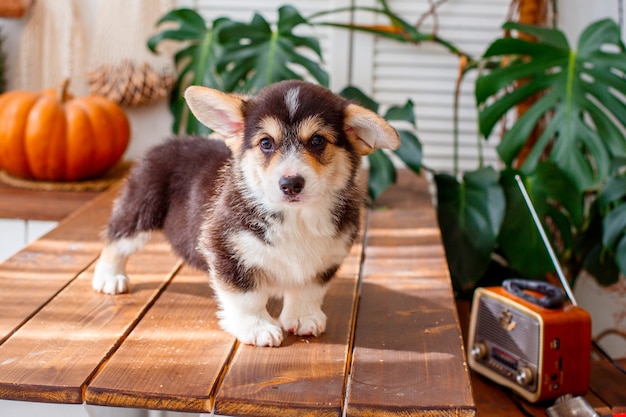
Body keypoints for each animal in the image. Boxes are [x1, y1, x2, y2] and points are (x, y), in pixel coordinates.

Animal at [92, 79, 400, 346]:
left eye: (317, 141)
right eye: (266, 143)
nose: (290, 184)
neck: (297, 218)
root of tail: (168, 142)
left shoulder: (326, 259)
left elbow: (308, 290)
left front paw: (303, 318)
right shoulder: (228, 250)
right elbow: (247, 297)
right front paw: (258, 327)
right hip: (140, 210)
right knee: (116, 241)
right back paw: (109, 277)